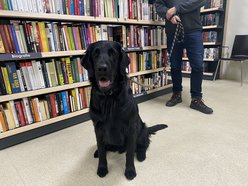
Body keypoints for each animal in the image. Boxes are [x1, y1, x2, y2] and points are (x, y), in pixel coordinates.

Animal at [81, 40, 167, 180]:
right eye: (95, 54)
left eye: (113, 53)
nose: (102, 68)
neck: (109, 97)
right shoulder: (98, 128)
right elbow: (102, 150)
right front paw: (102, 168)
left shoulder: (130, 128)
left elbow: (130, 153)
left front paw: (130, 171)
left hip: (141, 130)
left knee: (144, 144)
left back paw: (141, 155)